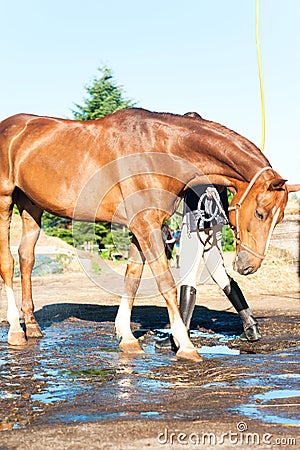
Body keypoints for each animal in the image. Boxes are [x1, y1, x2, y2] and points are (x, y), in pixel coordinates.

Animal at [0, 107, 298, 360]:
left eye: (280, 217)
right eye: (260, 213)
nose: (249, 265)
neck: (158, 150)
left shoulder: (141, 227)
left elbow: (132, 278)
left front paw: (127, 337)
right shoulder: (146, 225)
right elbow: (165, 282)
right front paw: (185, 346)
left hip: (31, 207)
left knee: (26, 259)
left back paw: (33, 327)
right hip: (5, 202)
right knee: (8, 263)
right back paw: (15, 331)